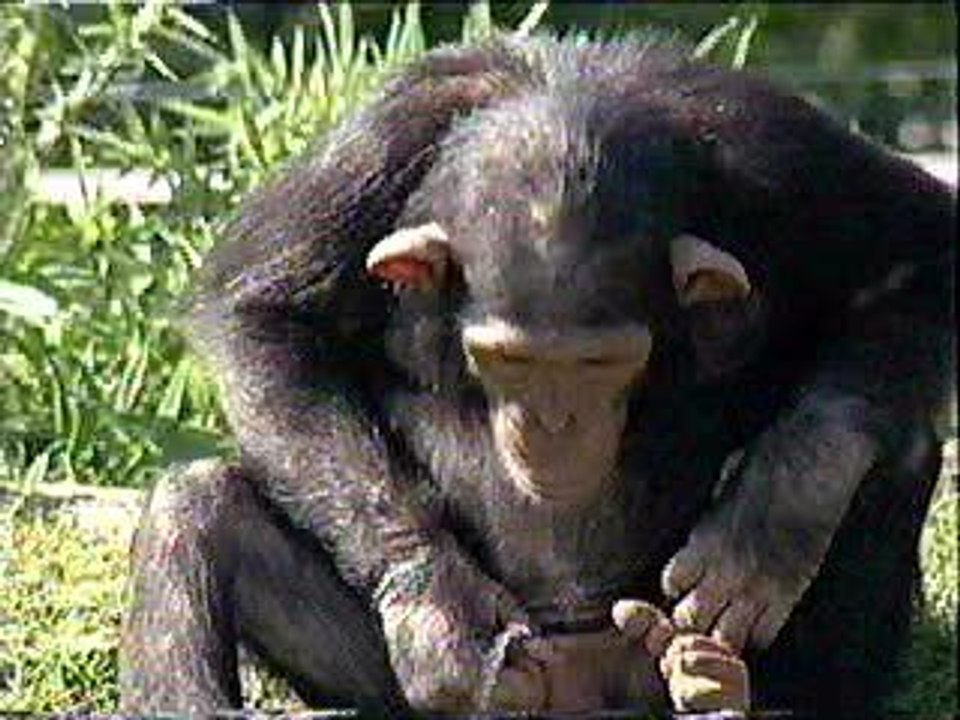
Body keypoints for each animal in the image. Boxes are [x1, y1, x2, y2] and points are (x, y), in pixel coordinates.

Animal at [119, 33, 954, 715]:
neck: (566, 108)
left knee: (894, 446)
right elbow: (262, 314)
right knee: (195, 504)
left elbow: (921, 252)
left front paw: (772, 516)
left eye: (601, 363)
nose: (555, 426)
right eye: (509, 360)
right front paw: (437, 612)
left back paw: (735, 686)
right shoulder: (380, 139)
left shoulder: (777, 146)